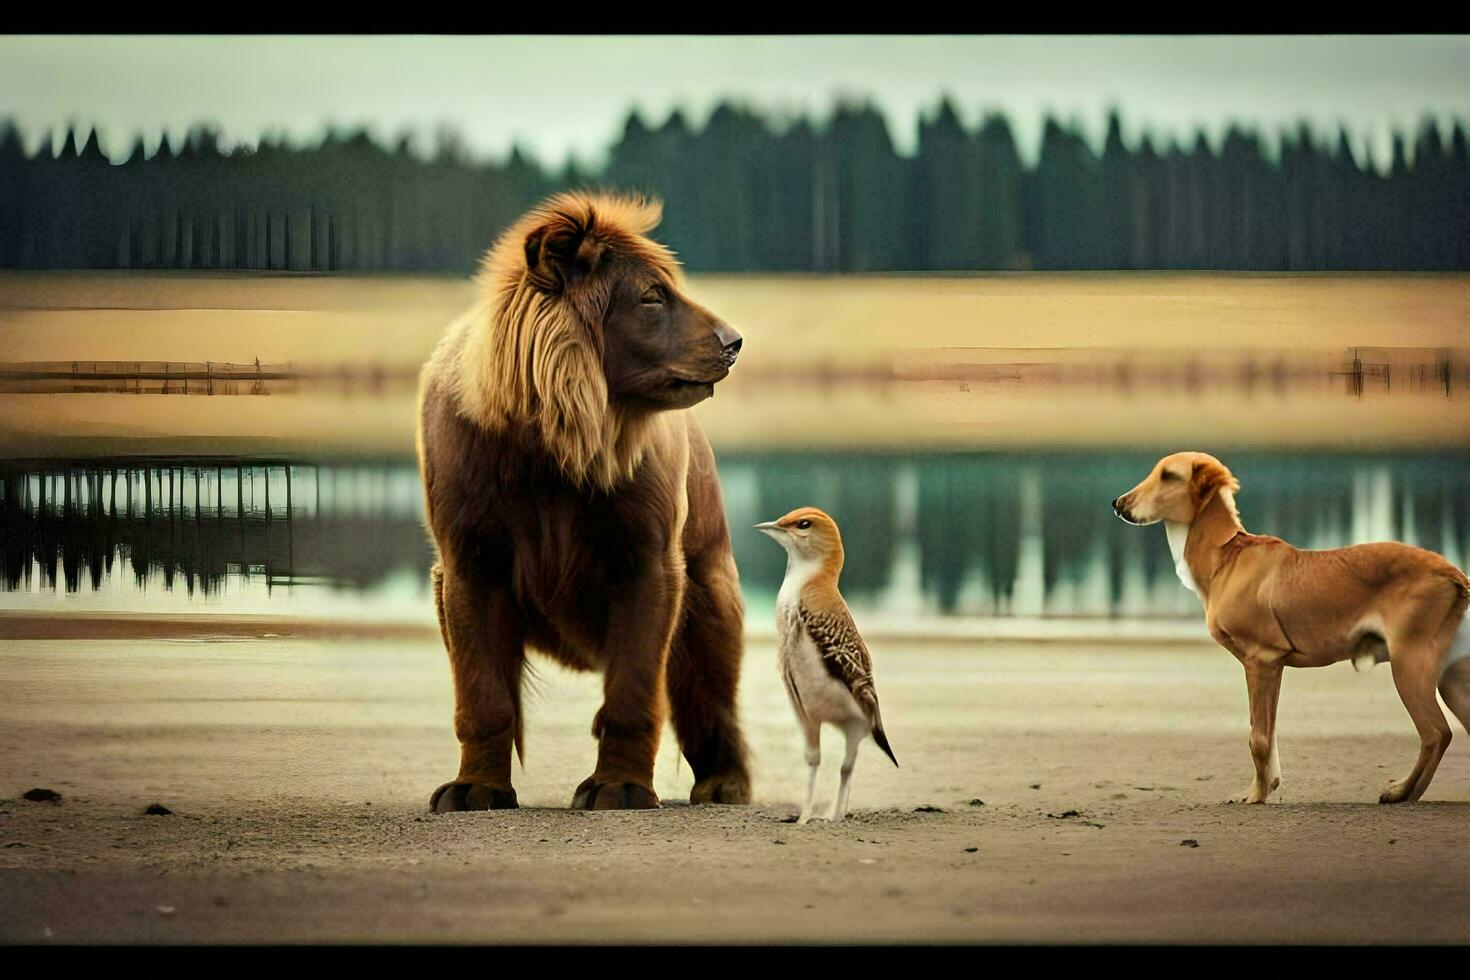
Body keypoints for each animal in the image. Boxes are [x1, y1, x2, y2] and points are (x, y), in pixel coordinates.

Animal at [420, 191, 752, 811]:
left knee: (710, 692)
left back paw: (725, 784)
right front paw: (474, 788)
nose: (733, 342)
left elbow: (633, 690)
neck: (557, 446)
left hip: (710, 584)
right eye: (652, 295)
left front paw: (619, 787)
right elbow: (483, 694)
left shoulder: (648, 559)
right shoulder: (470, 559)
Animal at [1111, 452, 1470, 805]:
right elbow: (1268, 734)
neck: (1227, 557)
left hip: (1409, 664)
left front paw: (1255, 795)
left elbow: (1258, 738)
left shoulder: (1262, 660)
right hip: (1451, 677)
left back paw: (1403, 792)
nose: (1117, 503)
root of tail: (1452, 572)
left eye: (1169, 476)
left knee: (1436, 732)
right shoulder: (1271, 668)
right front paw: (1267, 785)